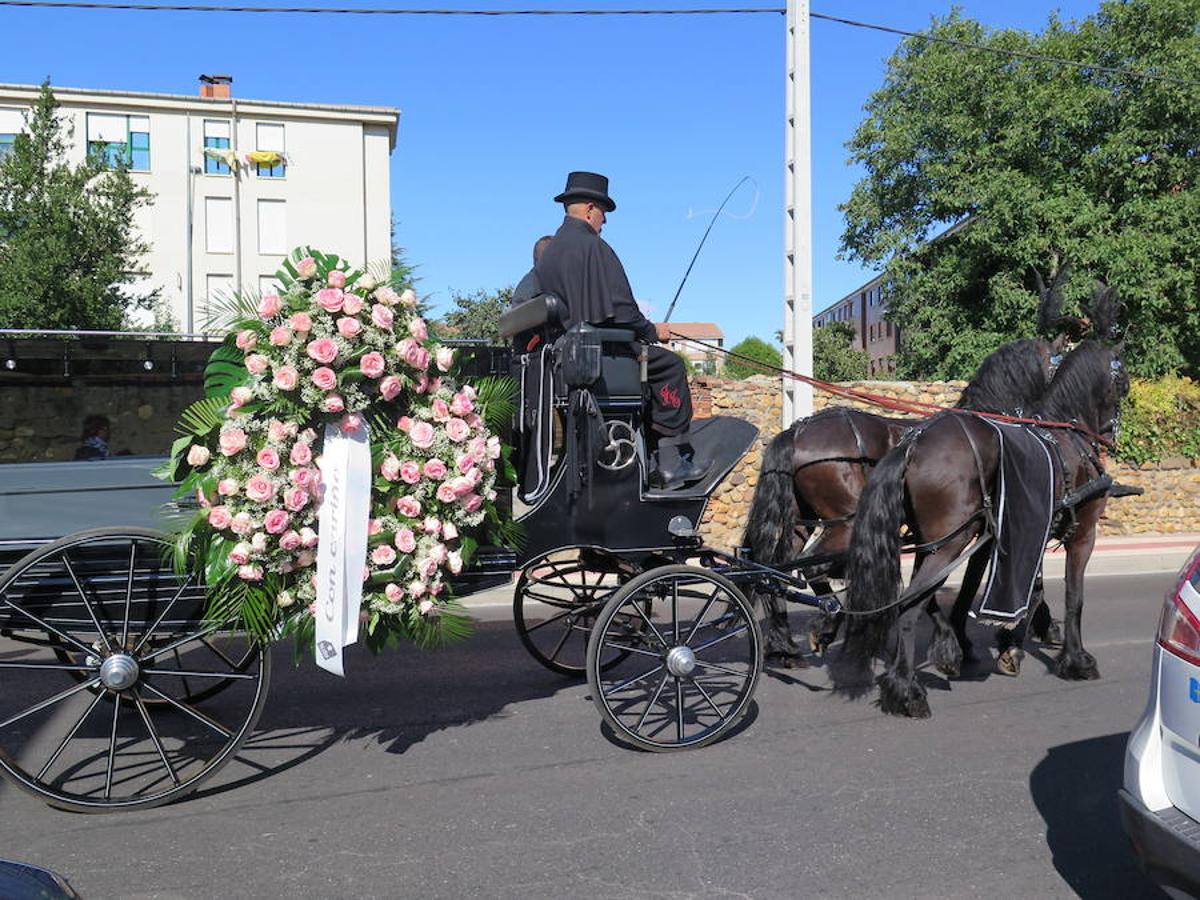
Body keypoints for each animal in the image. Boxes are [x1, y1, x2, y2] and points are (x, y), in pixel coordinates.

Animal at [830, 328, 1128, 720]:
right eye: (1123, 382)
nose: (1111, 433)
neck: (1066, 433)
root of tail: (913, 445)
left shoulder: (1019, 532)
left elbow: (1024, 590)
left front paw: (1007, 642)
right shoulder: (1082, 534)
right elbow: (1072, 596)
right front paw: (1075, 659)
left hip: (936, 542)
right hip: (950, 543)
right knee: (907, 605)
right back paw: (906, 690)